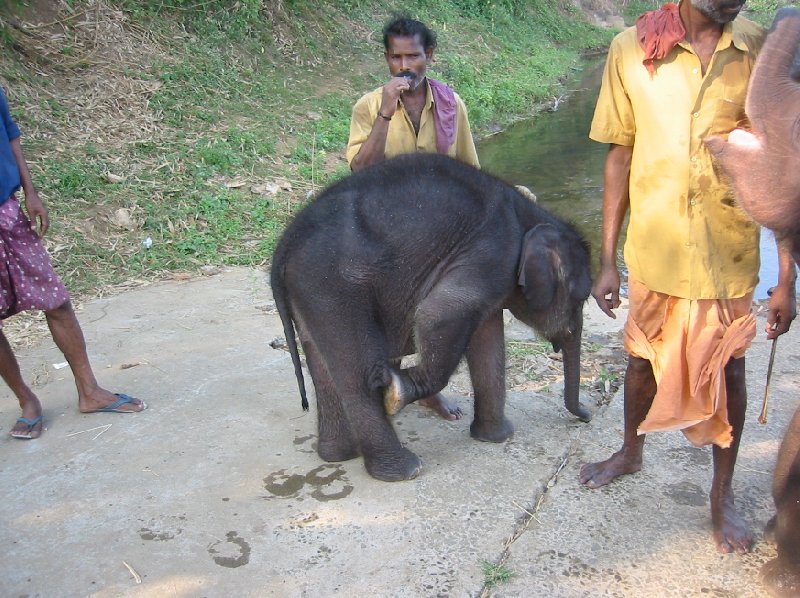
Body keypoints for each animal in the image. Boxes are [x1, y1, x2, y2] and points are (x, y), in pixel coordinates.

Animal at [272, 155, 592, 482]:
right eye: (581, 300)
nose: (587, 416)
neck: (530, 214)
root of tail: (284, 245)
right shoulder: (491, 252)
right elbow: (437, 315)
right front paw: (396, 394)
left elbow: (488, 338)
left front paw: (496, 437)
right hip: (333, 286)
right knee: (357, 373)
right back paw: (405, 469)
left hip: (310, 292)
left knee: (321, 363)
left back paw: (338, 455)